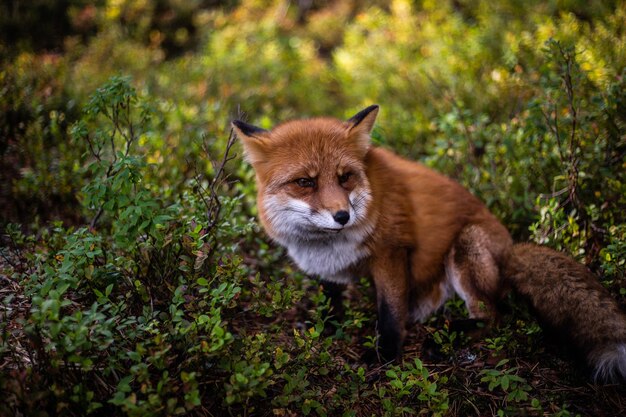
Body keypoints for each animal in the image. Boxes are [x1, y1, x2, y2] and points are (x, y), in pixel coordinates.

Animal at [232, 105, 624, 382]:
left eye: (345, 178)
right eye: (305, 182)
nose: (343, 215)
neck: (328, 245)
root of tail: (511, 245)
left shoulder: (391, 252)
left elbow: (390, 314)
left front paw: (384, 359)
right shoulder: (327, 268)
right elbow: (331, 302)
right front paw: (325, 329)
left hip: (465, 250)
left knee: (495, 316)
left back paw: (446, 337)